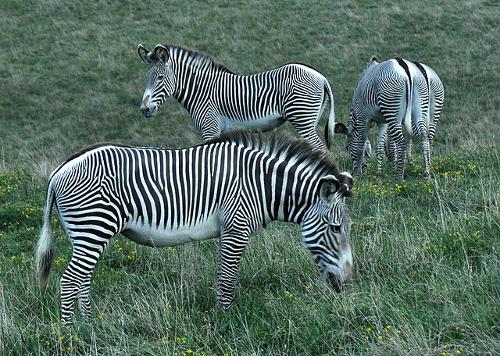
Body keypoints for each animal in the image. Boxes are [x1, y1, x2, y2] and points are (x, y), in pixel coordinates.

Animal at [37, 131, 354, 322]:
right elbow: (227, 279)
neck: (261, 185)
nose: (346, 285)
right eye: (336, 228)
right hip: (93, 227)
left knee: (82, 280)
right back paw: (72, 333)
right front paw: (225, 320)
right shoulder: (236, 228)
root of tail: (59, 170)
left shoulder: (229, 231)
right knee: (70, 281)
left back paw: (90, 324)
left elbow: (224, 276)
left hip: (86, 234)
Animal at [136, 44, 344, 150]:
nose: (145, 109)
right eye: (147, 77)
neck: (201, 90)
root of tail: (321, 76)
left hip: (302, 118)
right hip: (310, 118)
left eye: (160, 78)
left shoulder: (210, 128)